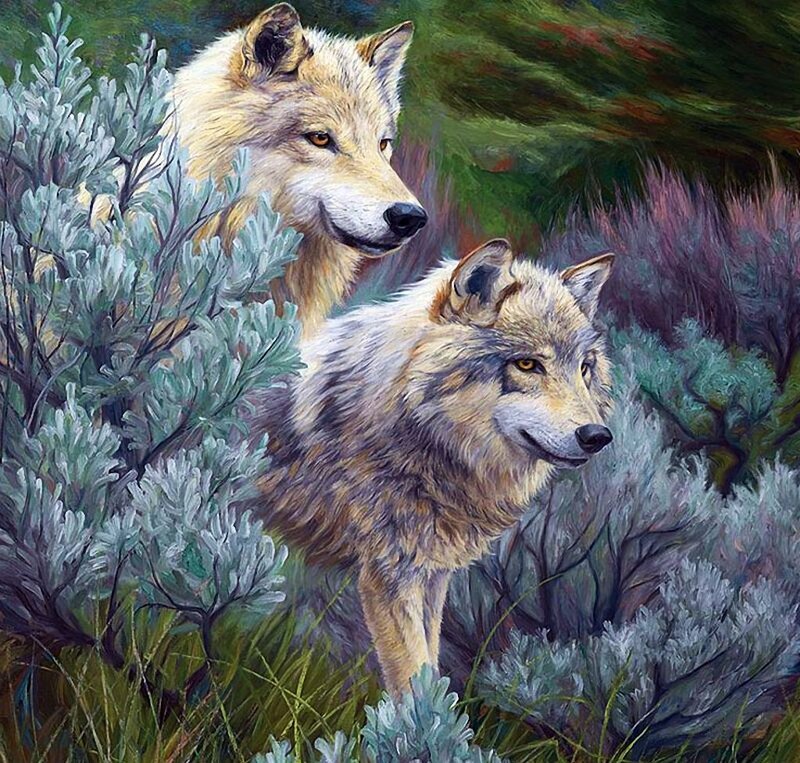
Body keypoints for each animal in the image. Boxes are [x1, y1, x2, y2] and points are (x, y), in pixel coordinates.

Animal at [251, 239, 615, 695]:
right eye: (528, 364)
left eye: (584, 368)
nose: (597, 436)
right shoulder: (389, 576)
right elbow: (413, 676)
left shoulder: (431, 573)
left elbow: (430, 661)